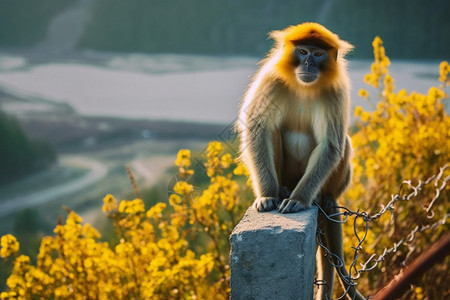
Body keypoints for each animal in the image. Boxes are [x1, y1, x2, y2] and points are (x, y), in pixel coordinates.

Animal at [236, 22, 366, 298]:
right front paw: (267, 195)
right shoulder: (271, 80)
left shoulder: (335, 91)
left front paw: (298, 200)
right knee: (272, 130)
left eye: (318, 54)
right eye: (303, 51)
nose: (308, 64)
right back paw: (283, 189)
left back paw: (323, 198)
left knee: (343, 143)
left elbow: (331, 145)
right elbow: (257, 128)